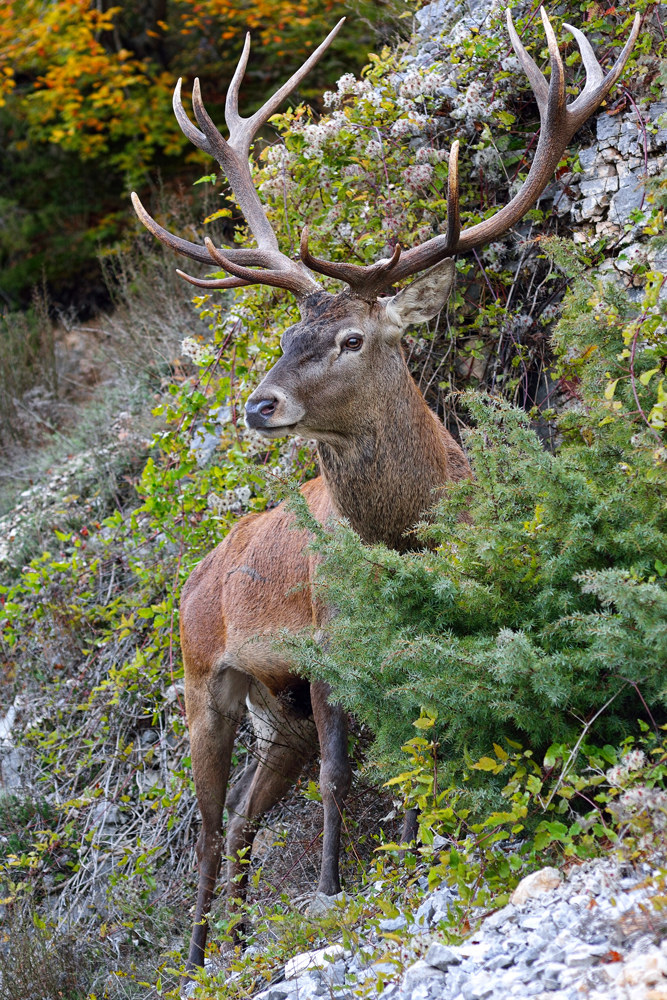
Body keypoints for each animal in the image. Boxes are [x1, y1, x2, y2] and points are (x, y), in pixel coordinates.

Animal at [131, 8, 639, 971]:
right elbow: (345, 772)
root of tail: (191, 579)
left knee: (245, 815)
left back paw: (244, 937)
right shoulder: (335, 636)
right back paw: (199, 955)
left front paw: (413, 850)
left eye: (351, 339)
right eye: (287, 335)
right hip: (198, 675)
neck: (404, 535)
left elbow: (416, 748)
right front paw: (337, 889)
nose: (258, 404)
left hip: (275, 705)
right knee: (209, 824)